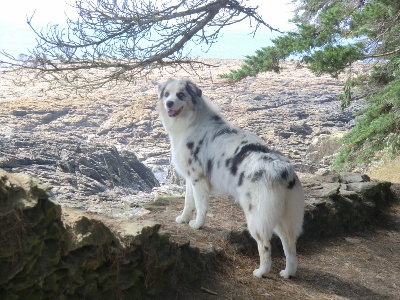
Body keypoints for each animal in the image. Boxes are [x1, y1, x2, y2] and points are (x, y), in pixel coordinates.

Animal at [158, 78, 304, 278]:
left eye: (180, 95)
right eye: (166, 94)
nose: (169, 103)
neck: (191, 121)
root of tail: (284, 172)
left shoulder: (198, 178)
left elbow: (200, 206)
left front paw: (197, 225)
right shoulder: (190, 179)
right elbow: (188, 202)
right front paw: (183, 218)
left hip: (257, 217)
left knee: (265, 245)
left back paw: (261, 271)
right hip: (284, 218)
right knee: (290, 246)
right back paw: (288, 273)